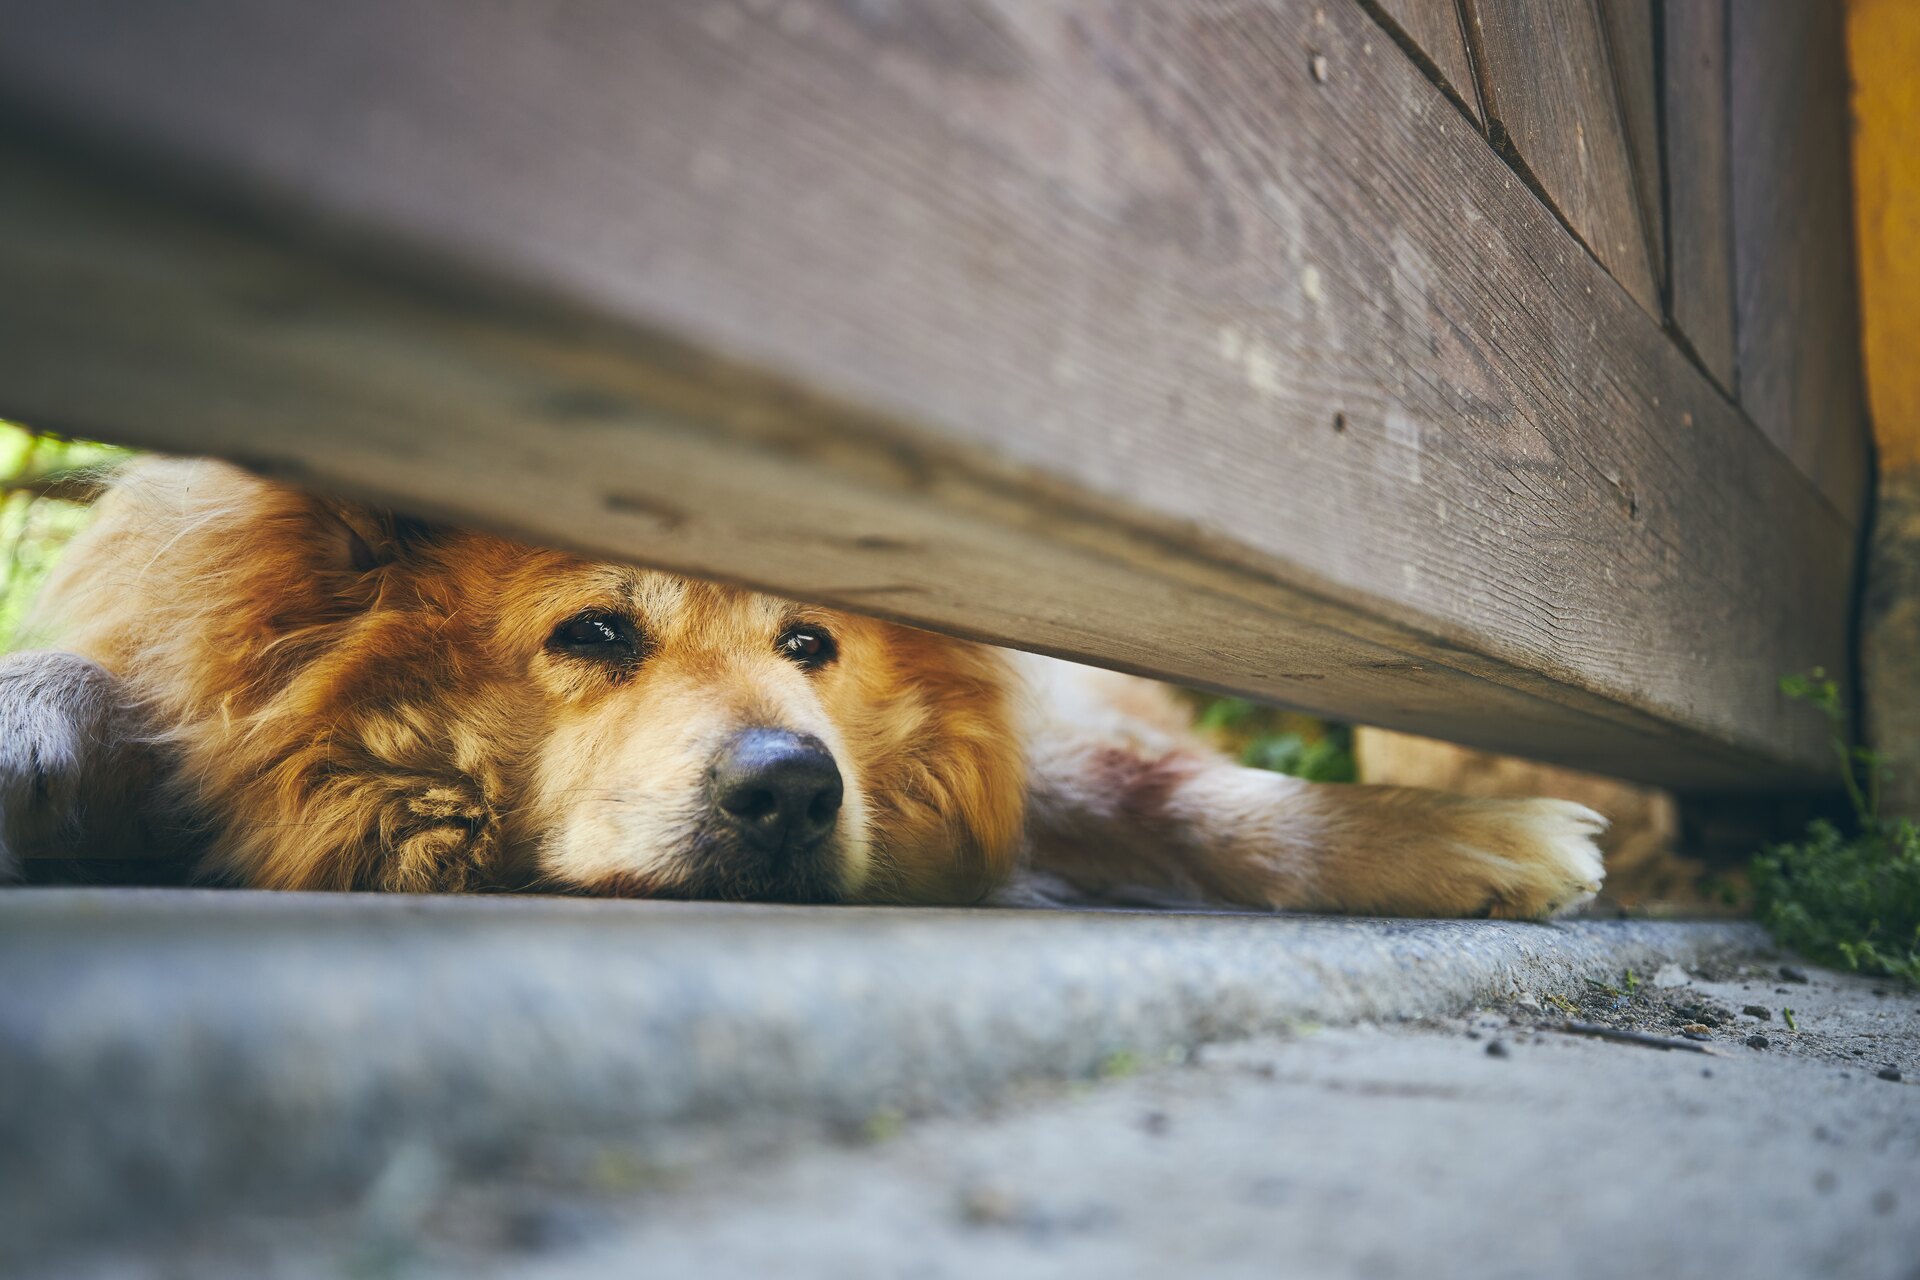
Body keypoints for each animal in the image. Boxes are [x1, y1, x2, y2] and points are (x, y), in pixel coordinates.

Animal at [0, 454, 1605, 917]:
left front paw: (1449, 839)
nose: (789, 791)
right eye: (596, 632)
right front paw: (35, 731)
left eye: (812, 645)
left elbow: (1183, 799)